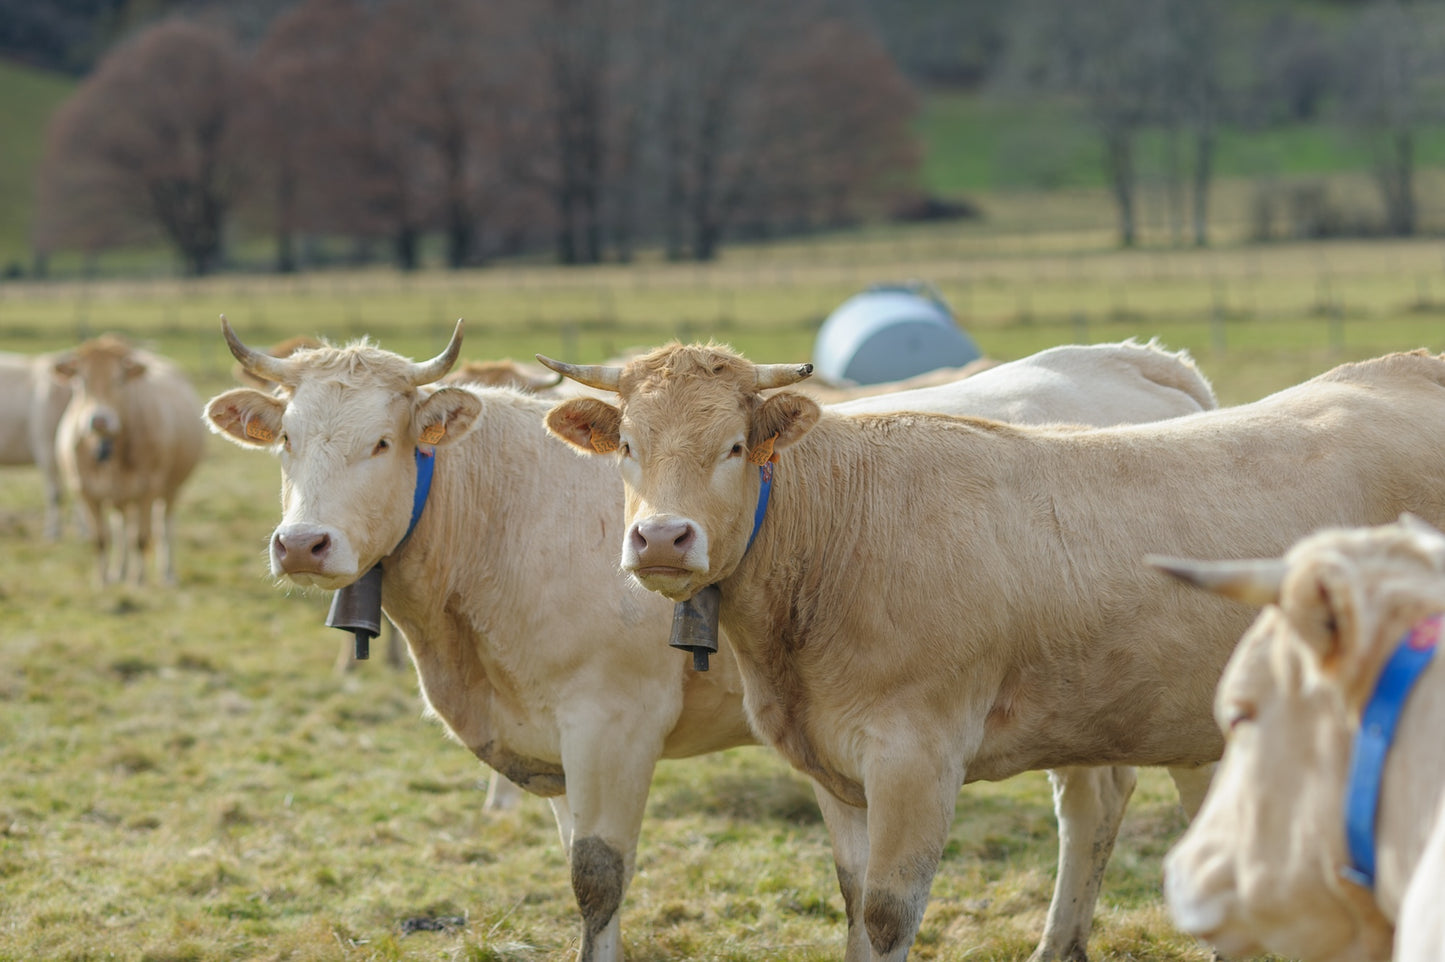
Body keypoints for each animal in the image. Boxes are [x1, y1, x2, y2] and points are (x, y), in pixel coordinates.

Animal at [53, 333, 203, 580]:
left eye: (119, 380)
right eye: (81, 381)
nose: (99, 420)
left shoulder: (147, 489)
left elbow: (141, 539)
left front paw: (138, 581)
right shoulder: (85, 491)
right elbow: (100, 539)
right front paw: (102, 580)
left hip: (170, 490)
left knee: (163, 527)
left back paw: (167, 574)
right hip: (121, 497)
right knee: (121, 529)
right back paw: (119, 571)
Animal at [206, 320, 1219, 959]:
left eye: (383, 442)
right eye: (287, 439)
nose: (302, 544)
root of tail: (1133, 359)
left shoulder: (612, 723)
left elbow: (598, 880)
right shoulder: (554, 740)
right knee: (1092, 803)